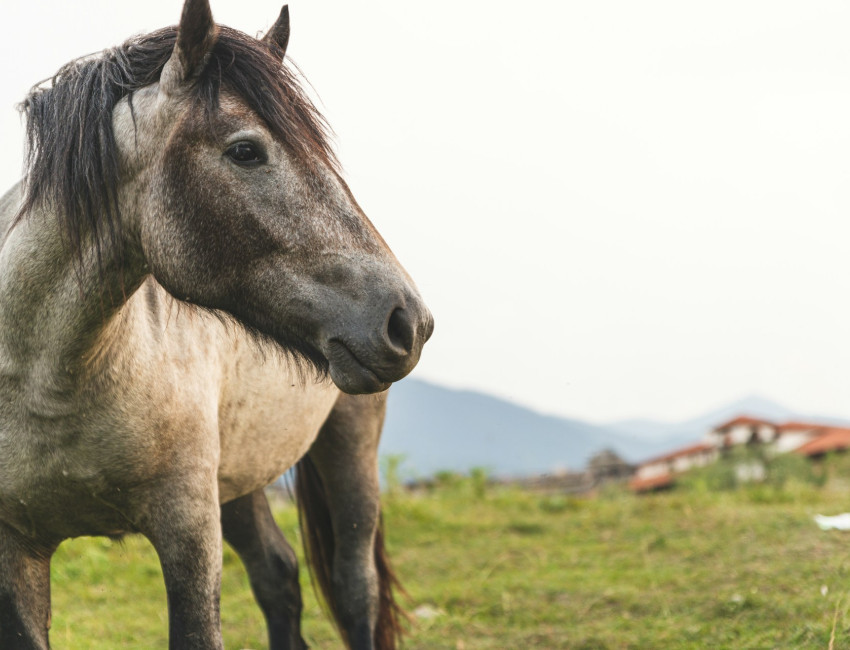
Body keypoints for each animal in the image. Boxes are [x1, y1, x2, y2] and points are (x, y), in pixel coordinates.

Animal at [0, 1, 430, 644]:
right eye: (246, 151)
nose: (408, 321)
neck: (45, 378)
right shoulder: (16, 550)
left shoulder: (189, 529)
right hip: (239, 473)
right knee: (279, 575)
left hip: (348, 447)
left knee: (356, 593)